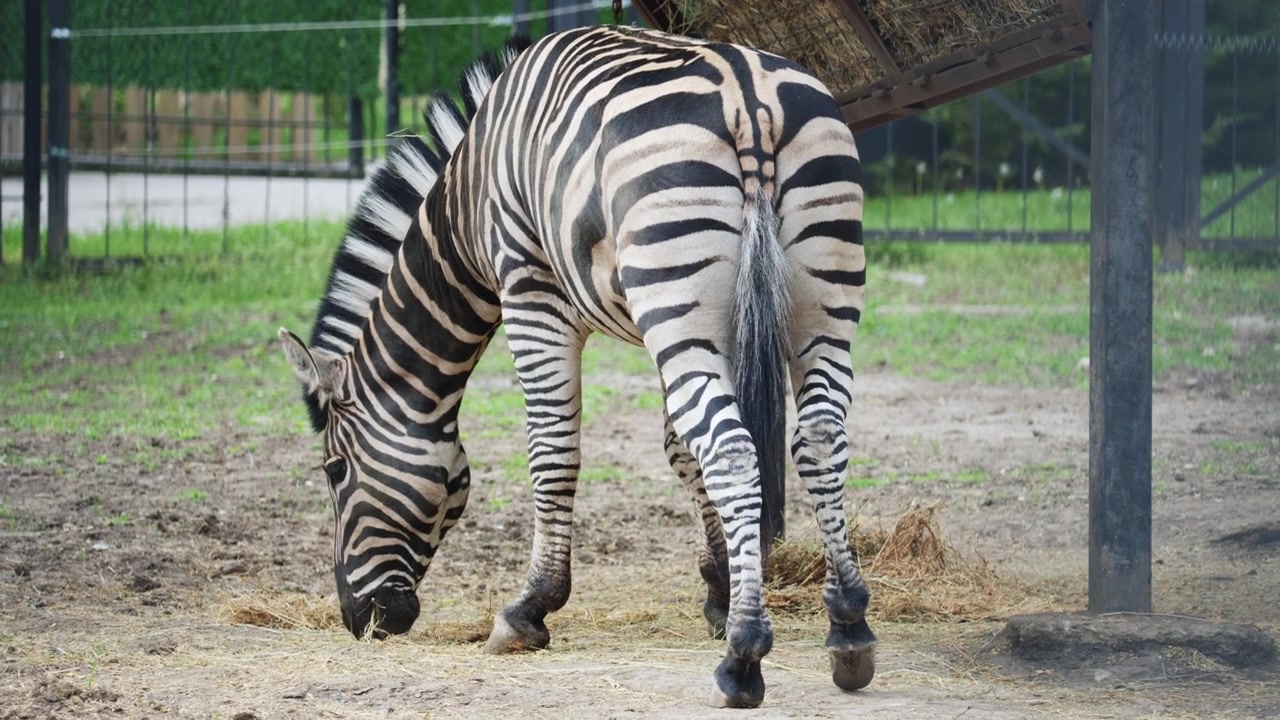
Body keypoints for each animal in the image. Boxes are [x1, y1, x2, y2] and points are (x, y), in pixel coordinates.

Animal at [279, 25, 872, 707]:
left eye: (334, 471)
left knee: (731, 449)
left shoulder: (531, 293)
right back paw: (849, 627)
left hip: (680, 294)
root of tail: (750, 99)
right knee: (819, 437)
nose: (360, 621)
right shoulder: (683, 327)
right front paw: (720, 588)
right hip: (810, 299)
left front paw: (530, 609)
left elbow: (553, 453)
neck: (467, 205)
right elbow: (678, 448)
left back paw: (744, 656)